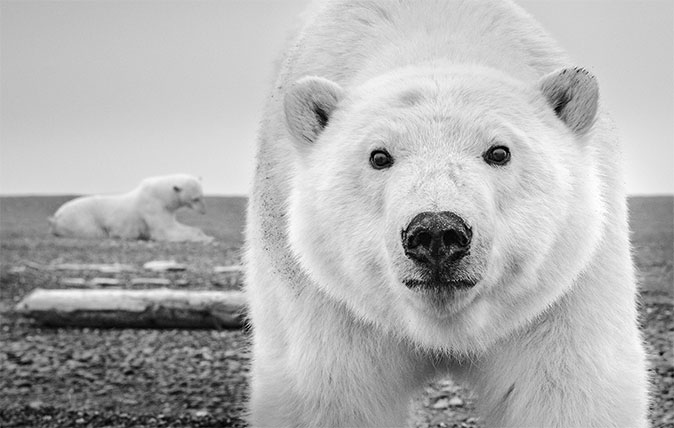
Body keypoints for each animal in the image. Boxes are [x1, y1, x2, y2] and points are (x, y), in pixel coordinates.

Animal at [49, 173, 213, 241]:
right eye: (195, 199)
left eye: (202, 195)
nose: (204, 211)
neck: (160, 194)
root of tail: (56, 217)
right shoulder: (152, 206)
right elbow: (164, 231)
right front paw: (203, 239)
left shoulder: (166, 209)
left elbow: (175, 225)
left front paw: (206, 235)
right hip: (80, 220)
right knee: (95, 231)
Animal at [244, 0, 648, 428]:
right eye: (378, 156)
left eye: (499, 151)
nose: (436, 232)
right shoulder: (328, 303)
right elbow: (331, 396)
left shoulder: (563, 295)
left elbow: (570, 390)